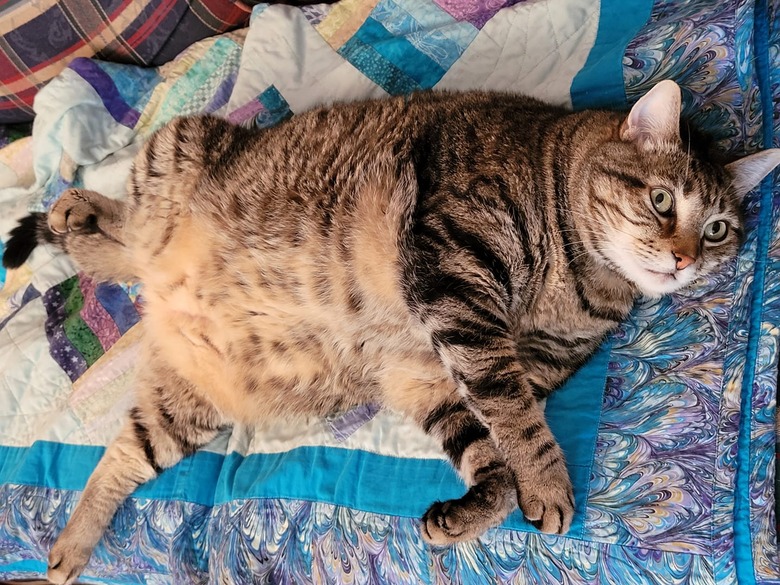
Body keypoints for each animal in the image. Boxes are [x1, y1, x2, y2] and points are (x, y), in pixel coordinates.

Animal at [6, 78, 780, 584]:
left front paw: (471, 512)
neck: (586, 285)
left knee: (122, 450)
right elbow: (520, 425)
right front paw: (549, 484)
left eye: (718, 230)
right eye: (661, 201)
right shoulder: (456, 279)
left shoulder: (449, 372)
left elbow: (495, 453)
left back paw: (69, 548)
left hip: (185, 406)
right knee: (129, 230)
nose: (684, 260)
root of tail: (162, 294)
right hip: (181, 151)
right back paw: (76, 209)